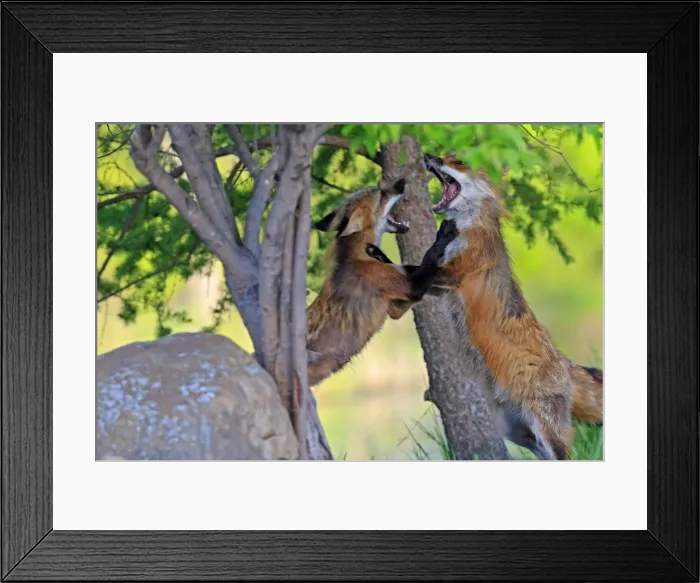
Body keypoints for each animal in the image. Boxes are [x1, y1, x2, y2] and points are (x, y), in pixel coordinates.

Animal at [305, 178, 455, 387]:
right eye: (382, 195)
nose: (402, 181)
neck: (356, 256)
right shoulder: (410, 287)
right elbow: (429, 257)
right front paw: (444, 235)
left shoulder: (396, 307)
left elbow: (412, 268)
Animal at [421, 152, 603, 460]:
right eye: (445, 156)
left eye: (458, 161)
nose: (427, 156)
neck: (471, 225)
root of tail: (566, 363)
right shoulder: (437, 287)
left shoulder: (454, 274)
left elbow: (418, 264)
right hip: (515, 431)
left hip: (546, 430)